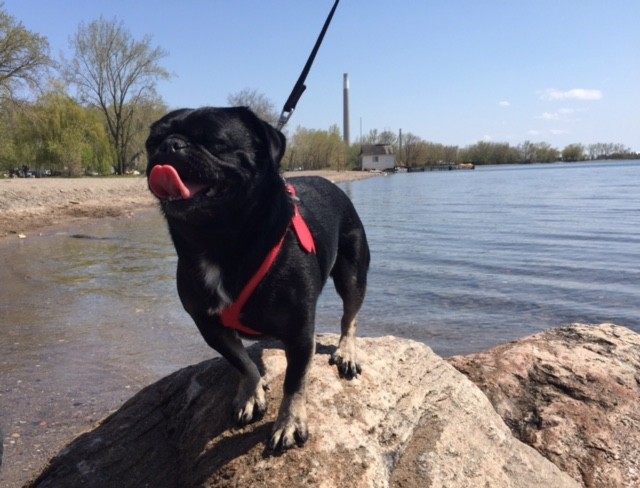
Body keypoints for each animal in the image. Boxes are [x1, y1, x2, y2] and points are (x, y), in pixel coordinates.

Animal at [142, 106, 368, 450]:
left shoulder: (300, 333)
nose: (169, 146)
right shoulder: (210, 326)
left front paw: (289, 422)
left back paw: (346, 352)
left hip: (353, 273)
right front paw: (251, 392)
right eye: (151, 143)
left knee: (350, 317)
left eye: (215, 141)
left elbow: (294, 382)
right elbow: (240, 361)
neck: (218, 240)